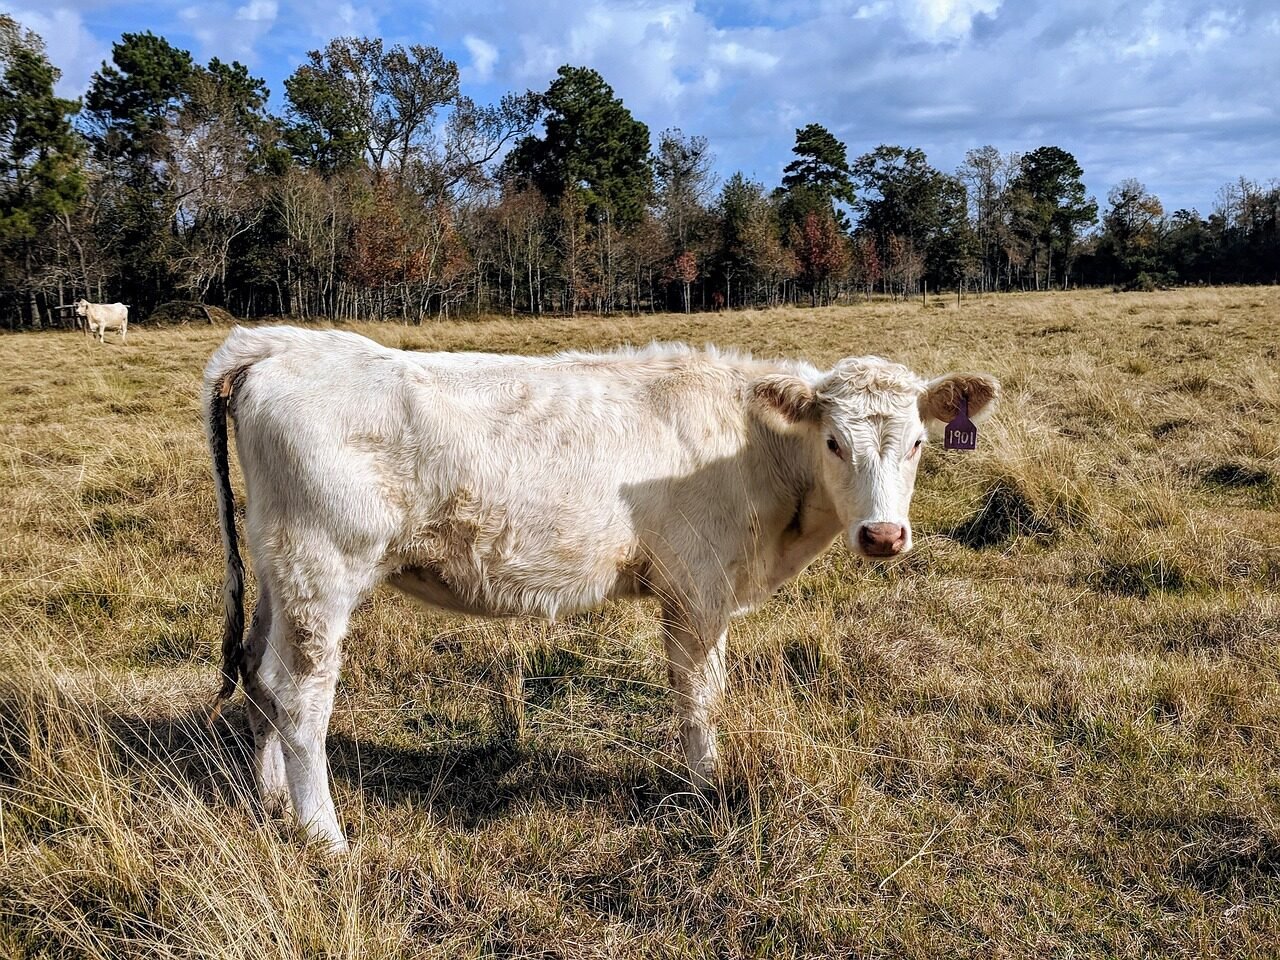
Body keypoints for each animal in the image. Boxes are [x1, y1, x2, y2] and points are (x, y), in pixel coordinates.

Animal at [204, 326, 999, 852]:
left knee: (259, 675)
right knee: (300, 696)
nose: (884, 536)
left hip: (278, 568)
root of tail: (277, 344)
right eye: (834, 442)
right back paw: (324, 835)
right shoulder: (698, 587)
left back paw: (272, 799)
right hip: (321, 565)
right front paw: (707, 788)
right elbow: (700, 697)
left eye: (918, 443)